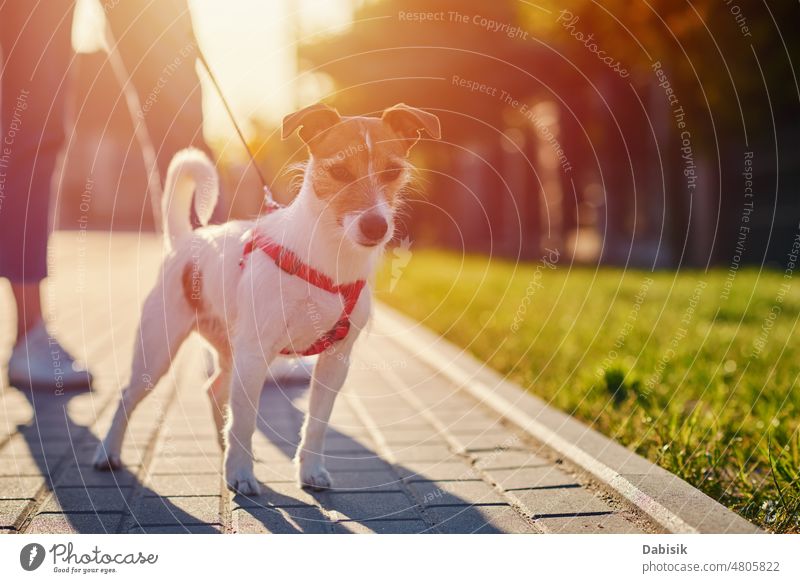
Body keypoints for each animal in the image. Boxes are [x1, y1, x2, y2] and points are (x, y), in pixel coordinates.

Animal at [94, 102, 444, 496]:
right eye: (339, 171)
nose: (376, 226)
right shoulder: (255, 355)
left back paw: (223, 448)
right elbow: (245, 420)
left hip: (229, 351)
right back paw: (109, 452)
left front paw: (309, 471)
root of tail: (189, 241)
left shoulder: (335, 361)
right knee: (128, 396)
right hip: (158, 351)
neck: (327, 258)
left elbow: (316, 423)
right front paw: (240, 474)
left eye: (393, 171)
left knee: (215, 390)